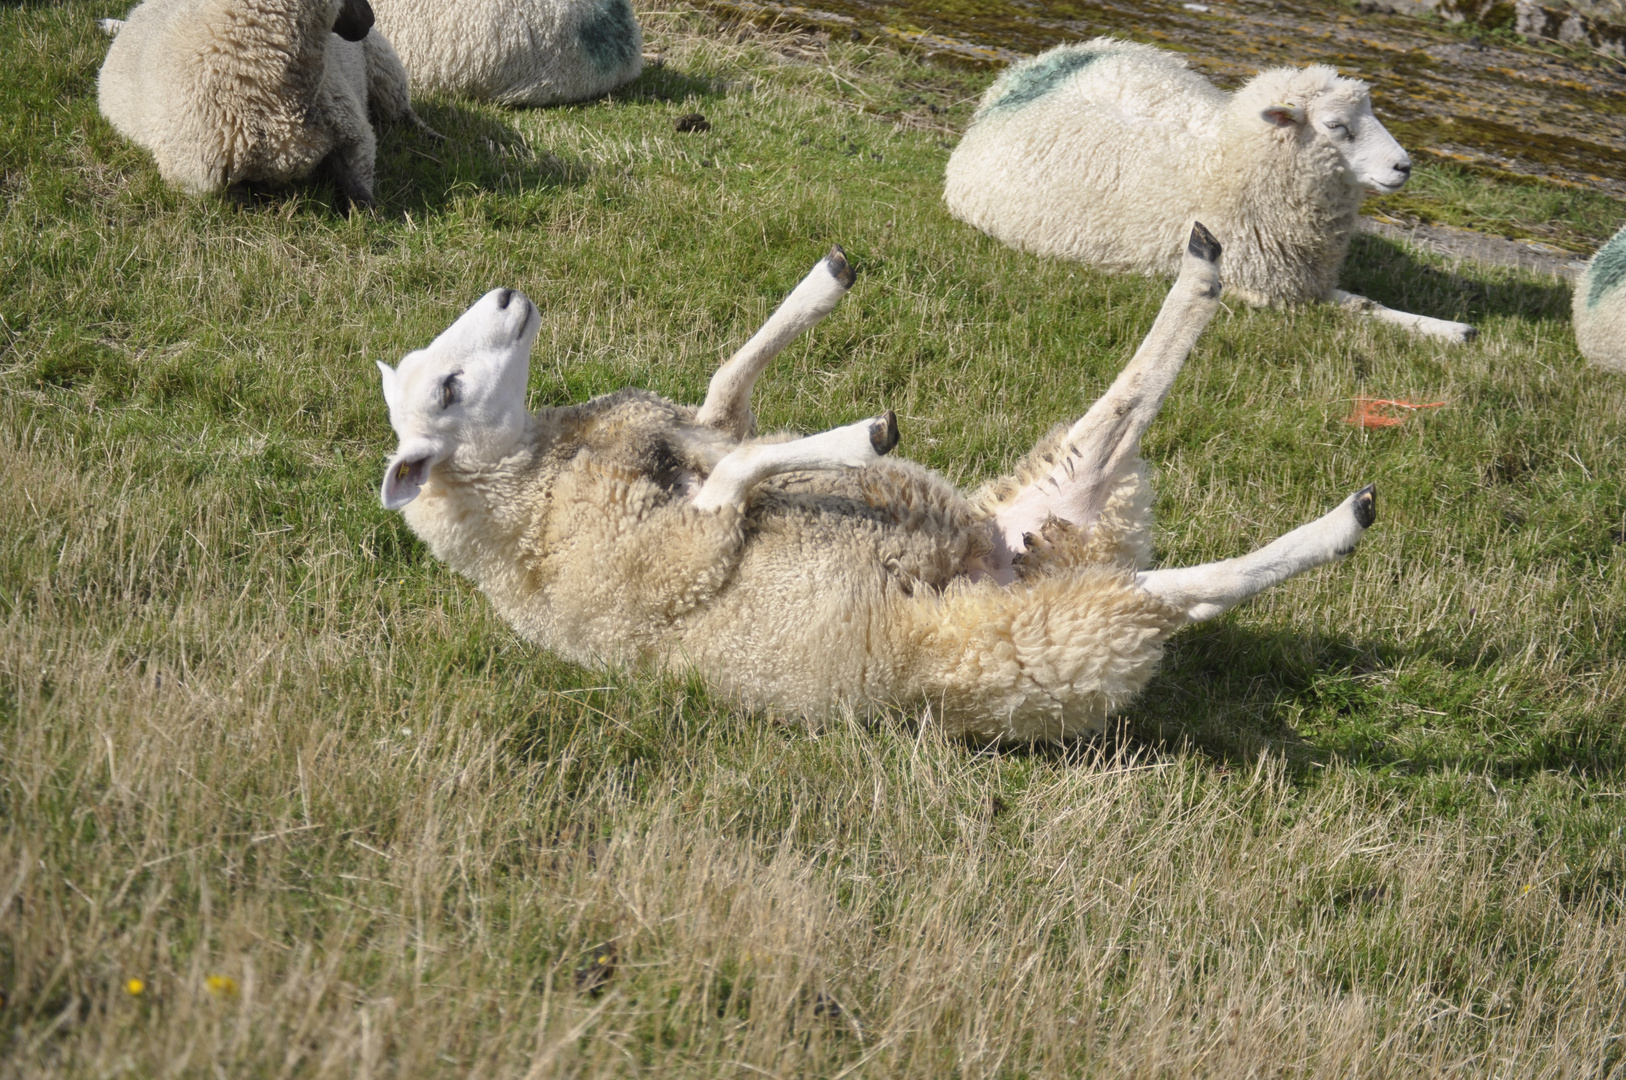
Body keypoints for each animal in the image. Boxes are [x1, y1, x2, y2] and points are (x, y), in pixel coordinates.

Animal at [98, 0, 435, 211]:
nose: (371, 18)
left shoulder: (354, 137)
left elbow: (362, 200)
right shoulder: (198, 183)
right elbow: (244, 201)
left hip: (384, 68)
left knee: (403, 114)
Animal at [372, 222, 1372, 738]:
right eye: (447, 387)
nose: (507, 294)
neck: (530, 489)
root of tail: (1015, 562)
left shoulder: (693, 442)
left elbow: (729, 388)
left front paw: (825, 285)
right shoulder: (687, 548)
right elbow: (745, 455)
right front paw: (862, 435)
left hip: (1061, 504)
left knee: (1119, 412)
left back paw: (1203, 267)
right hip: (1056, 634)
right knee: (1187, 592)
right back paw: (1344, 520)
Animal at [943, 40, 1489, 343]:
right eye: (1337, 126)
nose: (1404, 167)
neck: (1227, 159)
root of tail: (1018, 78)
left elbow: (1367, 302)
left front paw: (1453, 330)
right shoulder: (1266, 289)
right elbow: (1355, 307)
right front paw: (1443, 330)